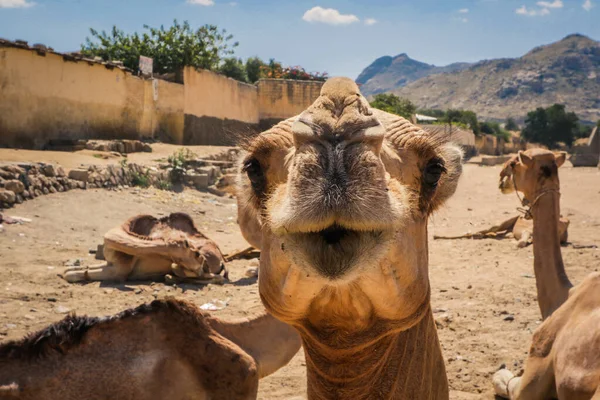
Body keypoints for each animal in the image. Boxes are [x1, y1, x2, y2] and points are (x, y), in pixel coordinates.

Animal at [62, 212, 229, 284]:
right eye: (194, 253)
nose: (204, 264)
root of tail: (221, 258)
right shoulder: (110, 263)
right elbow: (85, 268)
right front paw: (67, 270)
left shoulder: (118, 272)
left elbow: (78, 274)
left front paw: (70, 274)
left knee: (215, 278)